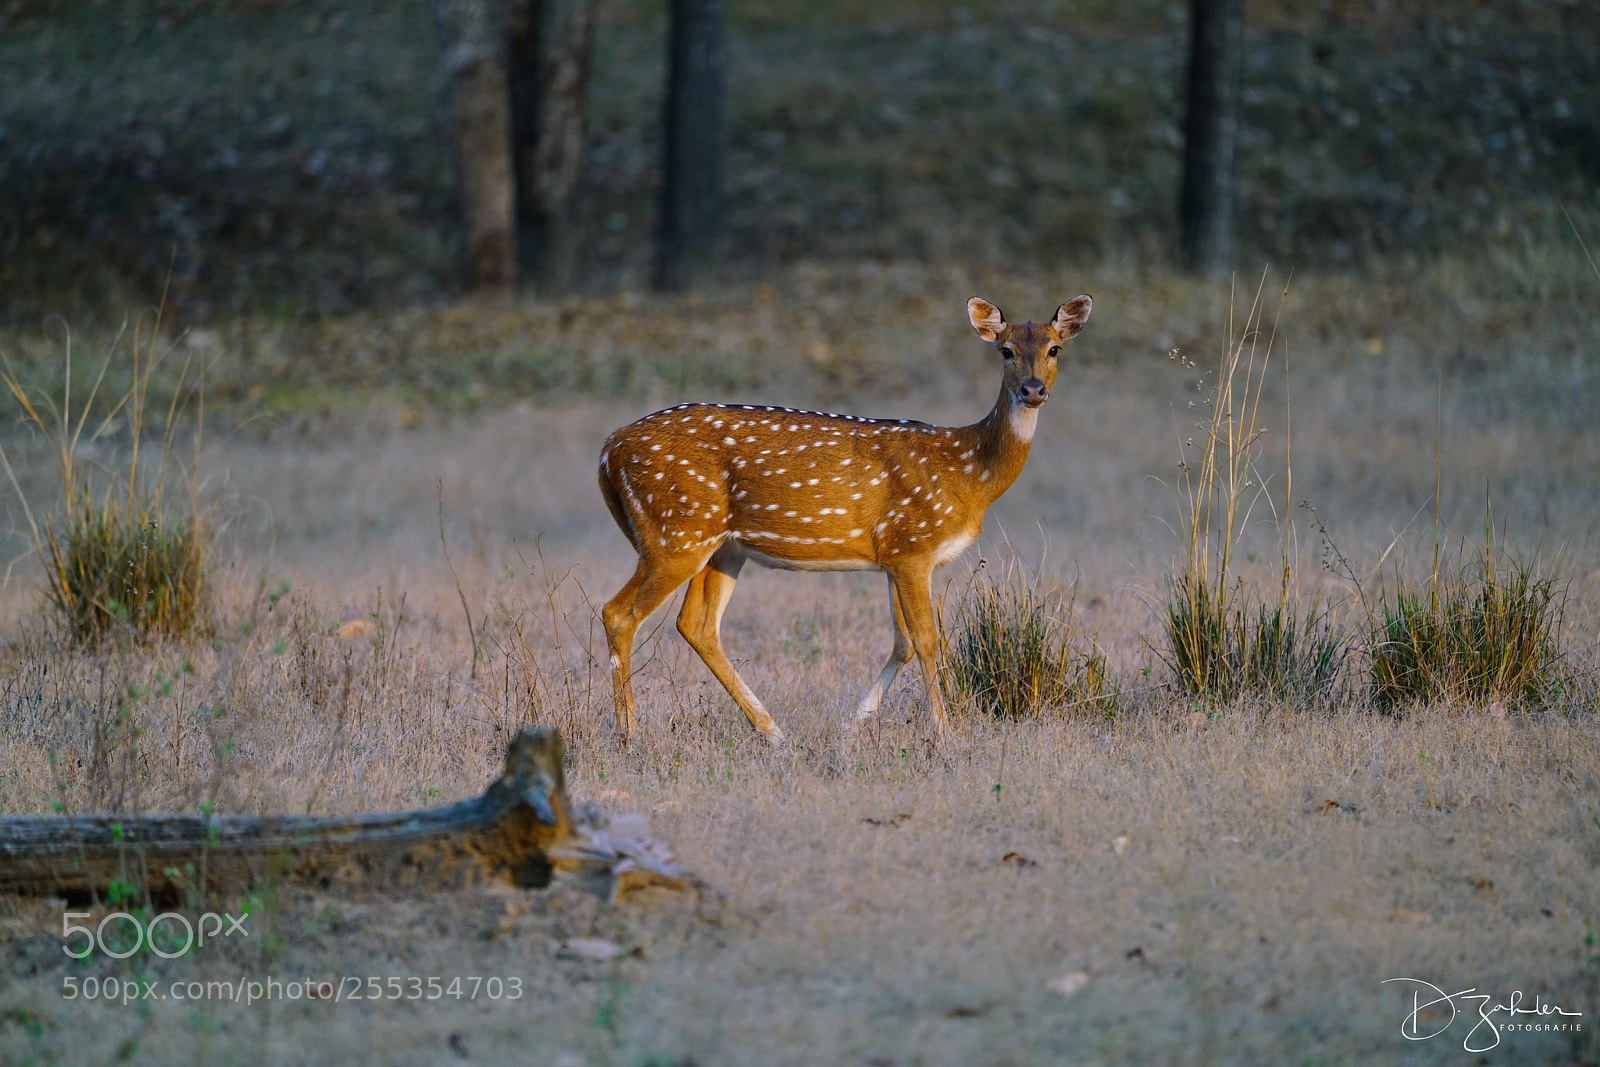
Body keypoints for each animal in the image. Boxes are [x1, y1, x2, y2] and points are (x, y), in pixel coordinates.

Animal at [597, 294, 1093, 746]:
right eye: (1005, 350)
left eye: (1054, 349)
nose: (1033, 390)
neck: (968, 474)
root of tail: (608, 451)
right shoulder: (913, 545)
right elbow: (927, 639)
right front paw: (944, 733)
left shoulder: (894, 555)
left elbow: (902, 642)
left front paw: (852, 727)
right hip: (675, 532)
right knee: (618, 613)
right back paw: (630, 735)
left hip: (720, 546)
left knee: (697, 625)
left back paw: (773, 731)